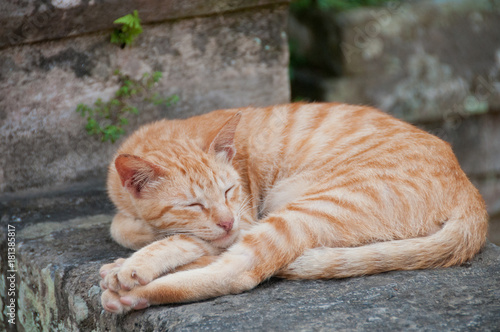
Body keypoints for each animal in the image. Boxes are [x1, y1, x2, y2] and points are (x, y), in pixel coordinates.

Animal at [98, 103, 488, 314]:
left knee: (240, 271)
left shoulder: (245, 216)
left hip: (302, 210)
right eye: (193, 204)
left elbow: (179, 238)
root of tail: (472, 194)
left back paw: (131, 292)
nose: (225, 222)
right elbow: (123, 226)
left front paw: (138, 262)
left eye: (228, 191)